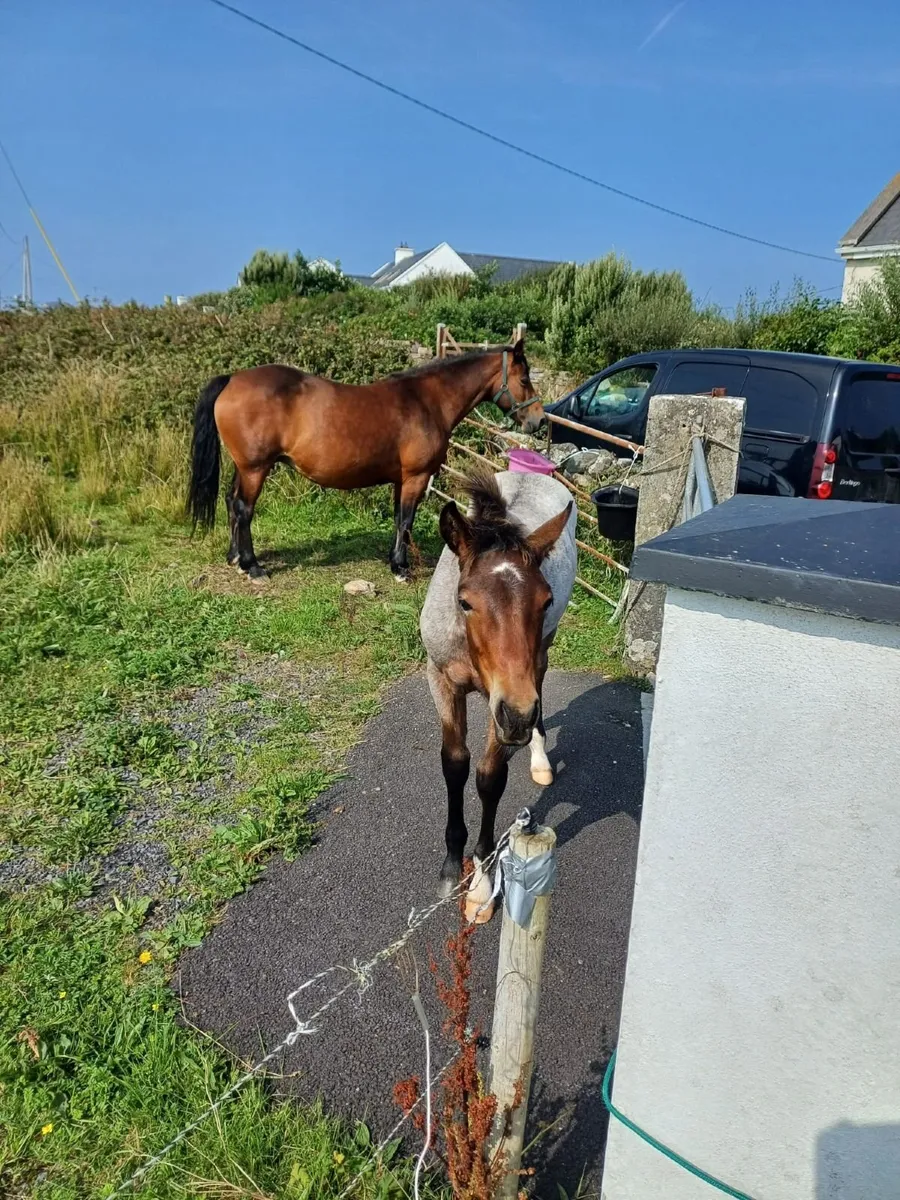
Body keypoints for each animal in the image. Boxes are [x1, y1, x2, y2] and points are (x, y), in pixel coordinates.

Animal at [186, 340, 545, 582]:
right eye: (524, 379)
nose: (539, 421)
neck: (427, 401)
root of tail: (233, 379)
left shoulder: (402, 479)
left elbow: (399, 519)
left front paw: (395, 561)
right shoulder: (415, 477)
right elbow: (406, 520)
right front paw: (401, 569)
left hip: (244, 467)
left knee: (231, 502)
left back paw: (234, 557)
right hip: (255, 468)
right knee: (244, 509)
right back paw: (252, 565)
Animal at [419, 466, 576, 923]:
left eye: (545, 600)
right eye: (464, 602)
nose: (519, 716)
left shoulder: (502, 702)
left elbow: (489, 778)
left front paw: (481, 886)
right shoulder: (441, 679)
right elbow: (454, 763)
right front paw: (451, 867)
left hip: (539, 655)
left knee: (539, 678)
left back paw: (539, 755)